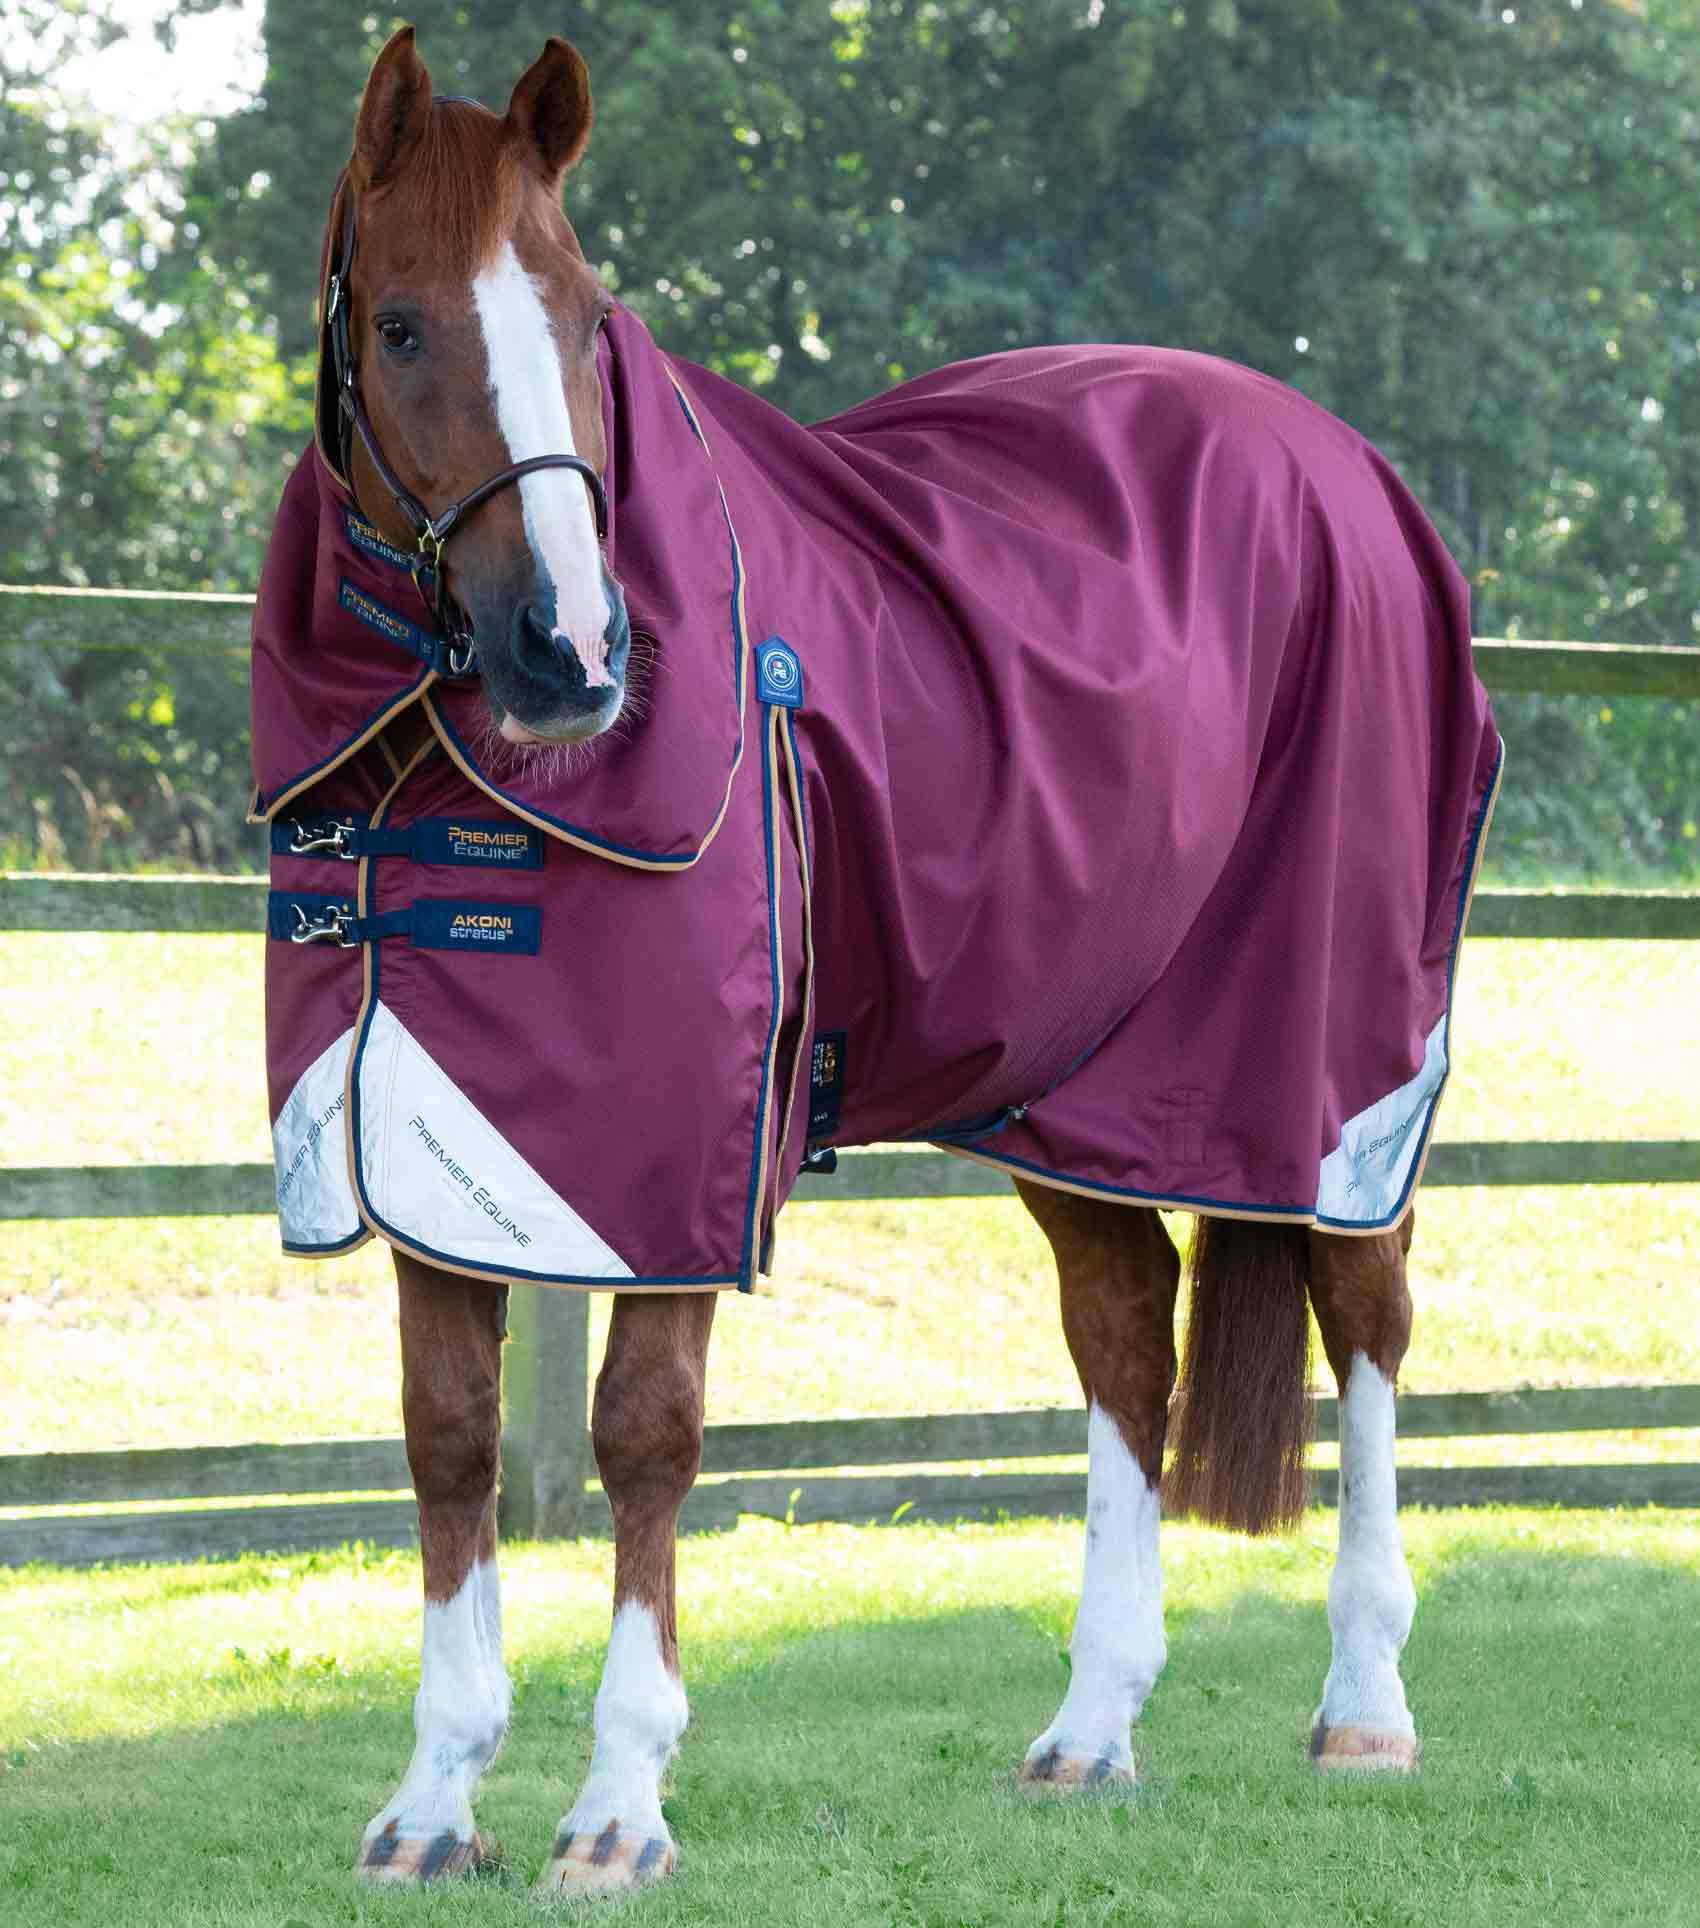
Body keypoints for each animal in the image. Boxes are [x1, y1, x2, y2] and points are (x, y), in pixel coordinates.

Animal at [250, 26, 1500, 1897]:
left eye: (585, 317)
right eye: (400, 325)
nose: (571, 651)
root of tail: (1351, 469)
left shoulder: (670, 1157)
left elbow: (644, 1431)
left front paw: (619, 1805)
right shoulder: (433, 1136)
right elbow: (449, 1432)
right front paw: (431, 1805)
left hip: (1330, 1061)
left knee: (1365, 1315)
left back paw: (1364, 1705)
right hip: (1081, 1089)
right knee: (1126, 1330)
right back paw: (1091, 1728)